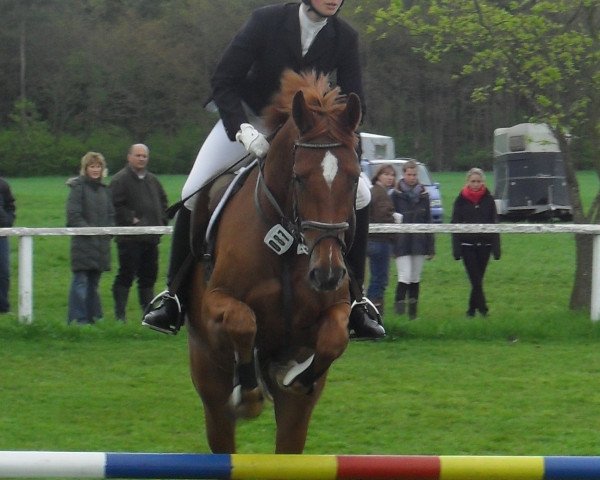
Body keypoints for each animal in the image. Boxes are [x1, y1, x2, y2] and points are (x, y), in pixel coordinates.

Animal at [188, 70, 360, 454]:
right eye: (299, 177)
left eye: (355, 177)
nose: (327, 273)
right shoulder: (215, 303)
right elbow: (243, 321)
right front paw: (250, 392)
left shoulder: (337, 308)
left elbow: (335, 337)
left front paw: (294, 375)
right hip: (210, 382)